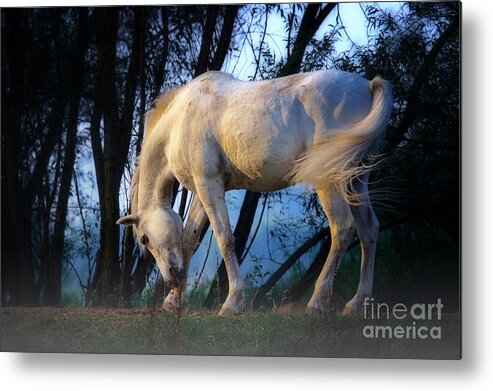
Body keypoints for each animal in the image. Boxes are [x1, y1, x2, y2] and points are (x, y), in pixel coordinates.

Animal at [115, 69, 392, 316]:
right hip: (355, 181)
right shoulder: (202, 189)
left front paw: (232, 302)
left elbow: (225, 239)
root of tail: (367, 86)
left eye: (144, 239)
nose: (173, 277)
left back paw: (318, 302)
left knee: (342, 228)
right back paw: (356, 304)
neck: (180, 121)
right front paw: (174, 301)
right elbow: (188, 238)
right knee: (369, 230)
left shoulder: (208, 184)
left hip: (330, 181)